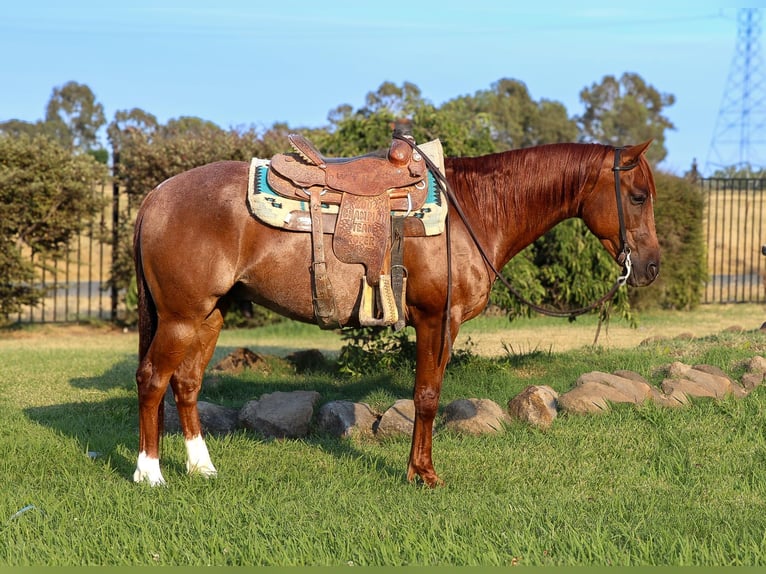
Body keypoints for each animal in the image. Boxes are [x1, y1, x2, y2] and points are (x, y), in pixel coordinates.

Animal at [132, 139, 660, 487]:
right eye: (638, 196)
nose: (651, 266)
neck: (471, 212)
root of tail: (156, 195)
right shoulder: (436, 319)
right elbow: (426, 396)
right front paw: (422, 474)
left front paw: (417, 469)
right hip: (181, 317)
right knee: (153, 379)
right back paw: (150, 473)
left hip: (210, 315)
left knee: (186, 384)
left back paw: (201, 467)